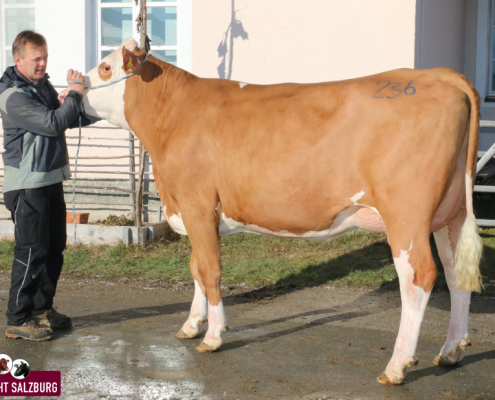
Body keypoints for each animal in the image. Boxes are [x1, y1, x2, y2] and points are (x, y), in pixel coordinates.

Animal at [78, 38, 484, 384]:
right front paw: (192, 324)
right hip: (450, 213)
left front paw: (213, 335)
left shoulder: (197, 204)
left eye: (105, 67)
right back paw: (451, 351)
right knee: (456, 272)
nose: (75, 87)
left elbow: (210, 270)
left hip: (406, 214)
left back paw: (397, 366)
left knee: (419, 277)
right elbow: (195, 268)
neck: (173, 115)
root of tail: (435, 73)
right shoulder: (193, 213)